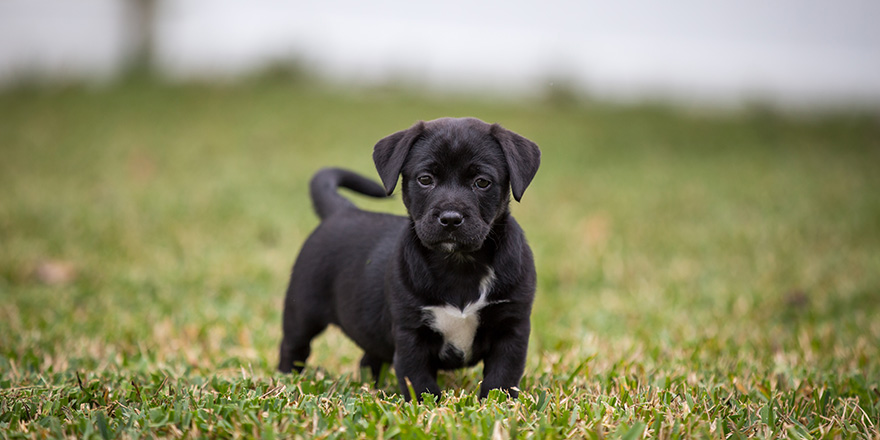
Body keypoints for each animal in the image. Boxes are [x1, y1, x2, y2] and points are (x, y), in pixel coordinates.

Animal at [278, 116, 540, 398]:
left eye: (482, 182)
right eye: (425, 179)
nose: (450, 218)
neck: (459, 265)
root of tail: (341, 211)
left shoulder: (512, 327)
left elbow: (501, 377)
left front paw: (498, 403)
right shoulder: (410, 331)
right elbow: (419, 379)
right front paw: (429, 405)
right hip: (302, 310)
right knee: (294, 347)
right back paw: (286, 380)